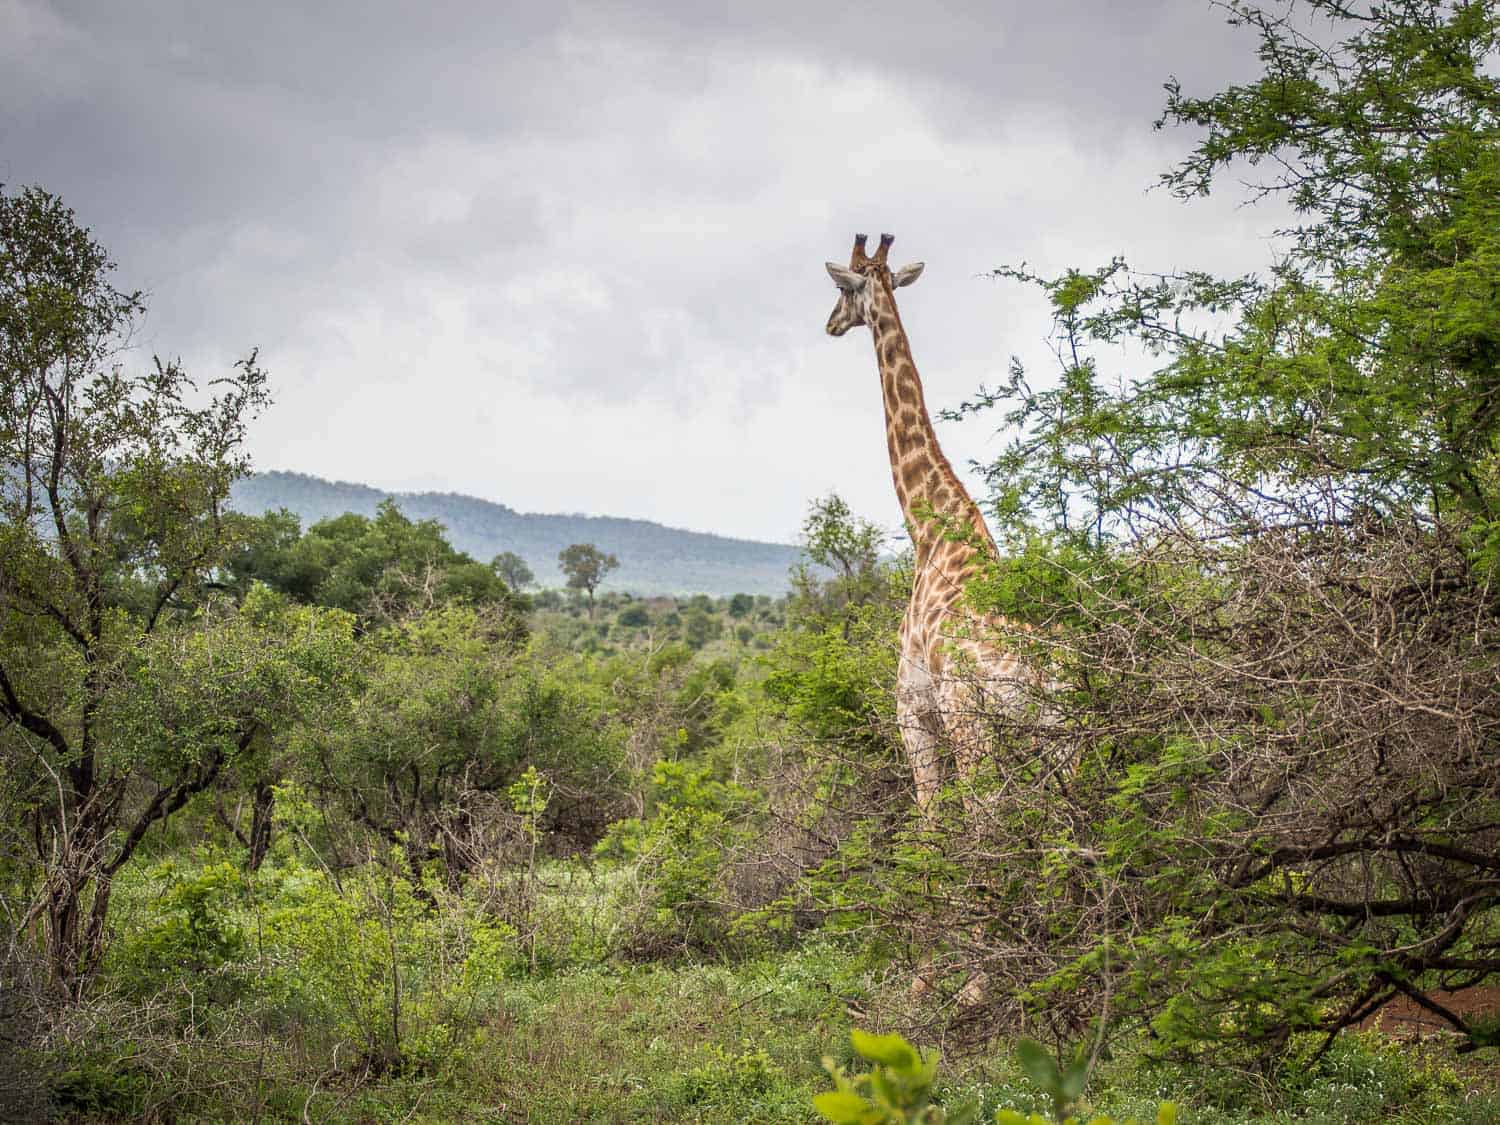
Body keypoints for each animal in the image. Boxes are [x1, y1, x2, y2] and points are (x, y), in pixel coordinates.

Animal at [822, 238, 1032, 816]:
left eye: (841, 290)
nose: (830, 324)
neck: (931, 529)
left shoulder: (912, 709)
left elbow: (932, 816)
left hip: (971, 725)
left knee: (986, 818)